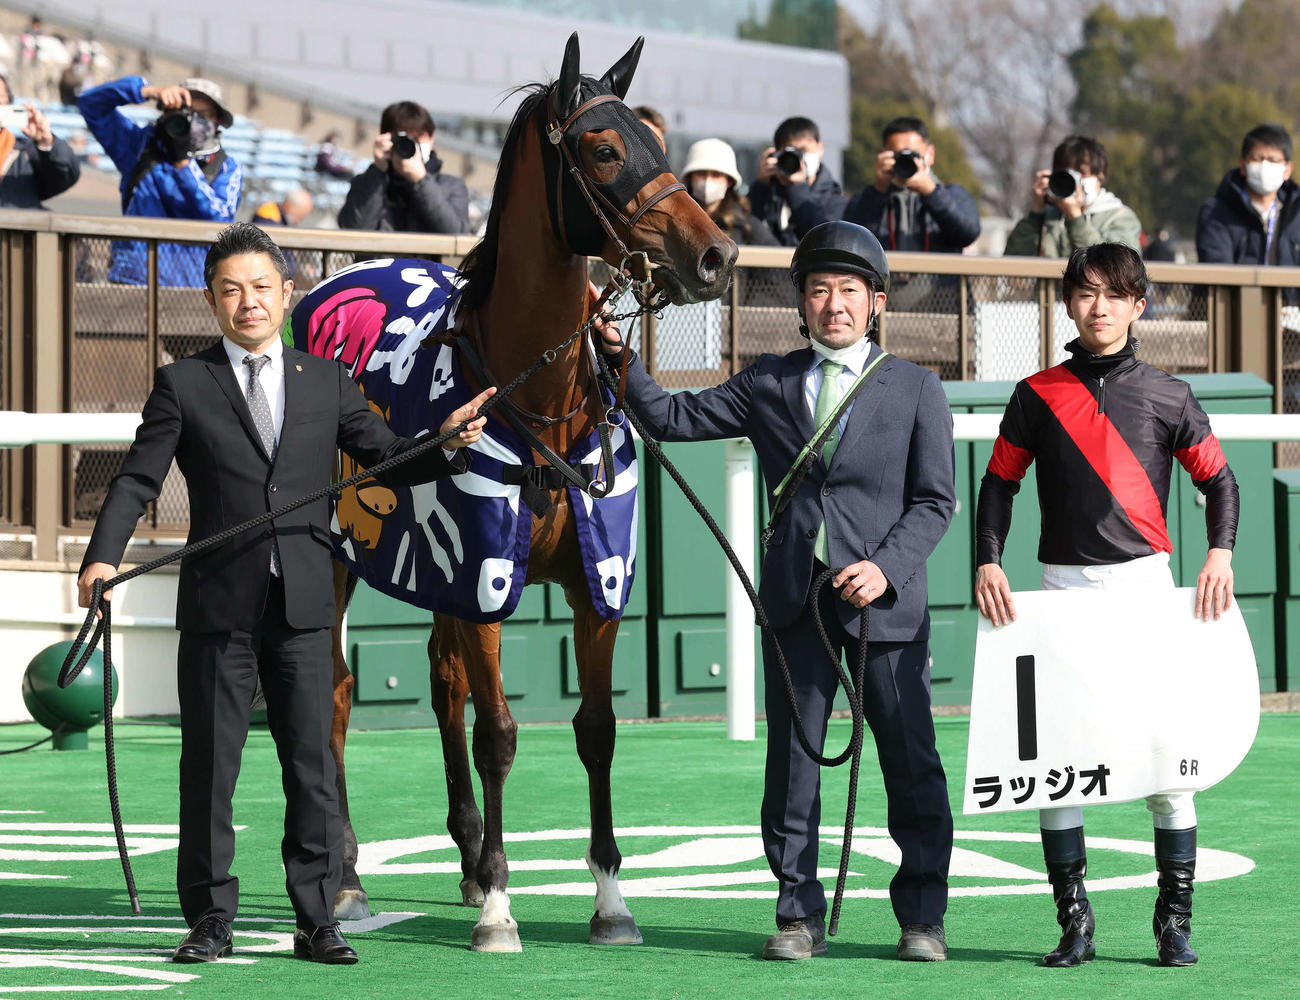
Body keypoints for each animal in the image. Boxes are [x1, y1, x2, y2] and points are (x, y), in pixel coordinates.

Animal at [291, 33, 736, 952]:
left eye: (656, 141)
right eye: (603, 151)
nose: (715, 256)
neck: (539, 398)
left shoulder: (592, 583)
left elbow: (596, 731)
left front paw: (609, 900)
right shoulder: (485, 577)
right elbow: (498, 734)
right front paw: (501, 904)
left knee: (442, 683)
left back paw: (463, 856)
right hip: (351, 555)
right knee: (341, 695)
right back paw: (349, 875)